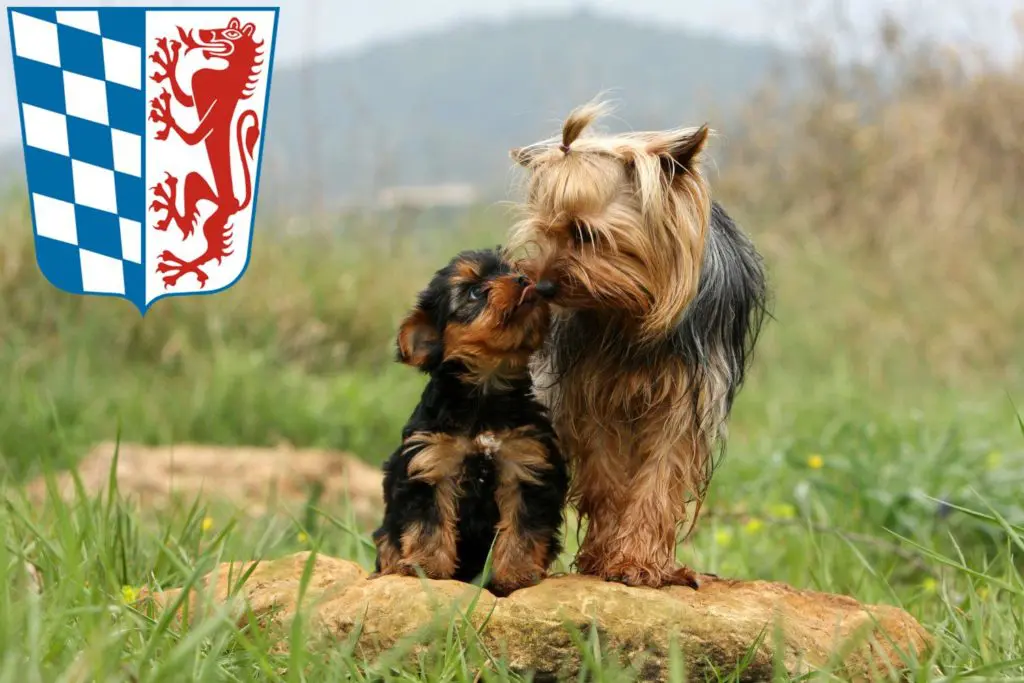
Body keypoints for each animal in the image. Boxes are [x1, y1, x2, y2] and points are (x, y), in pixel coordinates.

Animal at [374, 248, 573, 593]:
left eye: (513, 270)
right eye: (475, 292)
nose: (523, 280)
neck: (486, 390)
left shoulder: (525, 462)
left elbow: (523, 525)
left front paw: (517, 573)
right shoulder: (432, 462)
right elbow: (428, 520)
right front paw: (428, 567)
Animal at [505, 100, 770, 589]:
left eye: (585, 234)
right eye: (544, 232)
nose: (542, 286)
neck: (627, 308)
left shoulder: (684, 400)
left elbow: (659, 478)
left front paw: (637, 560)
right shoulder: (586, 391)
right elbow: (605, 472)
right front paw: (606, 555)